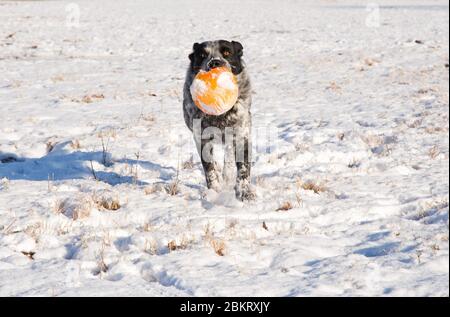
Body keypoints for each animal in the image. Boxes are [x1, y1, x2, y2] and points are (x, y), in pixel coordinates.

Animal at [181, 40, 255, 200]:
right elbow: (210, 168)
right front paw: (214, 192)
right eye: (202, 55)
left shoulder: (241, 135)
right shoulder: (201, 138)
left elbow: (243, 169)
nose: (215, 62)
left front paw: (244, 192)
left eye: (227, 52)